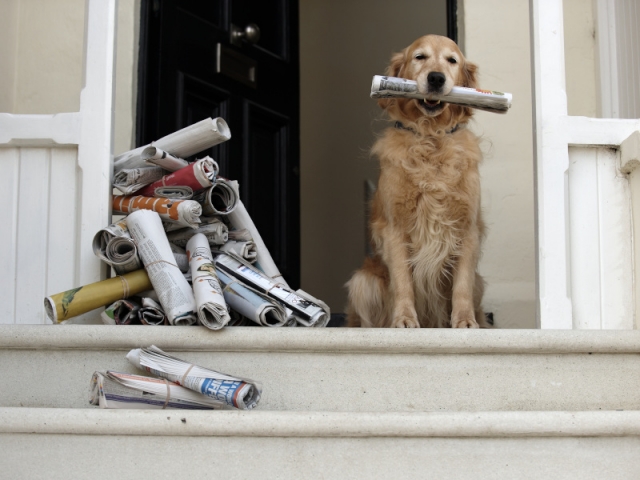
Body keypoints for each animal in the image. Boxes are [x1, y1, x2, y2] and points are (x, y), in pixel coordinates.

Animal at [348, 31, 488, 328]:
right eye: (420, 57)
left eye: (451, 60)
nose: (436, 78)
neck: (431, 137)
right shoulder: (395, 227)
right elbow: (403, 281)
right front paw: (403, 318)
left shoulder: (468, 226)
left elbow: (462, 285)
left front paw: (465, 321)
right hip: (363, 281)